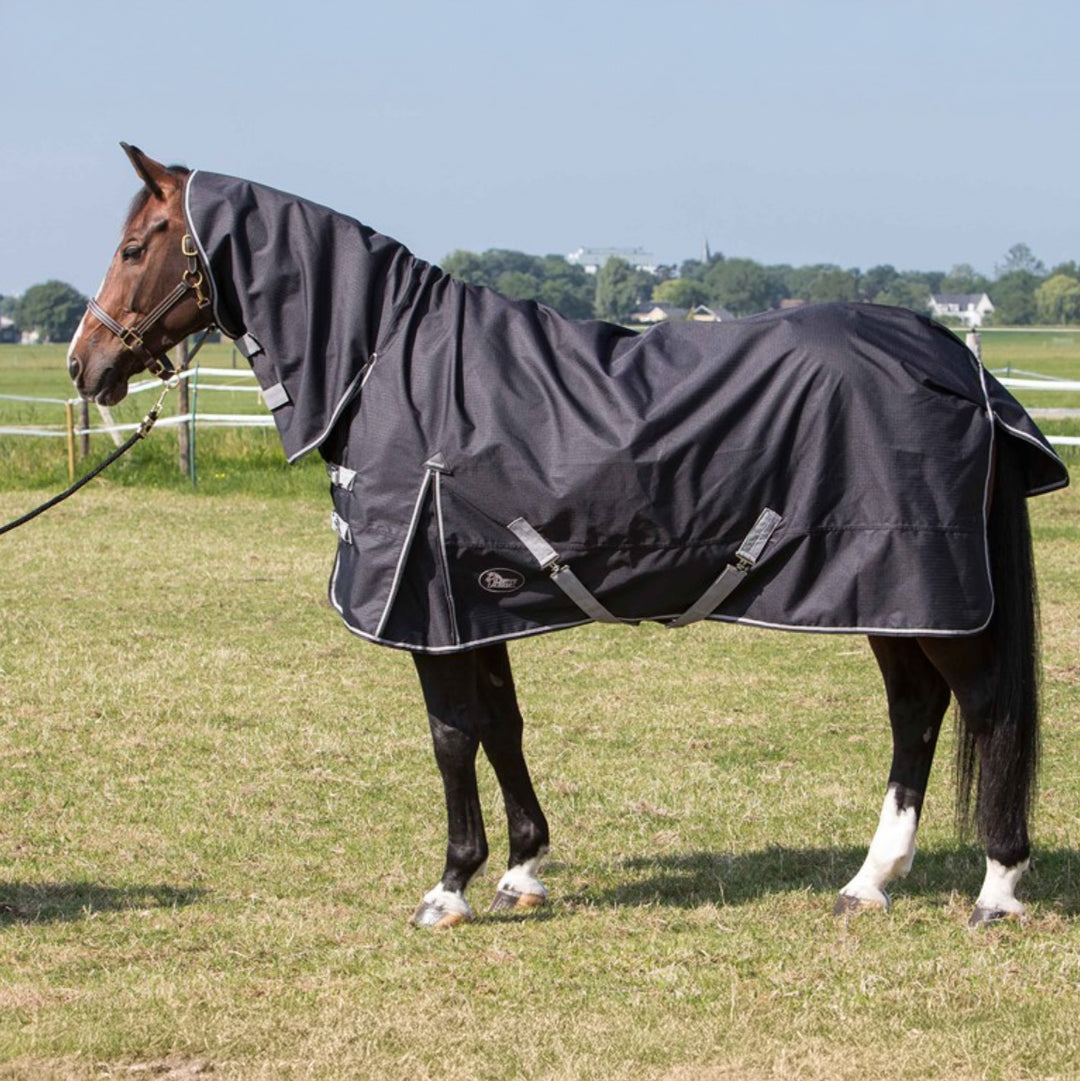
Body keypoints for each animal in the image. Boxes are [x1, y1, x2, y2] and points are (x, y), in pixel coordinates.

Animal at [67, 144, 1068, 929]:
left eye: (132, 247)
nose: (85, 363)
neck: (388, 362)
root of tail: (959, 363)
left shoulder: (428, 607)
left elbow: (451, 735)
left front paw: (450, 886)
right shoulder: (476, 603)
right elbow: (502, 726)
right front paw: (521, 870)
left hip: (929, 589)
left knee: (984, 709)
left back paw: (998, 886)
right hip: (892, 594)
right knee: (917, 712)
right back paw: (869, 882)